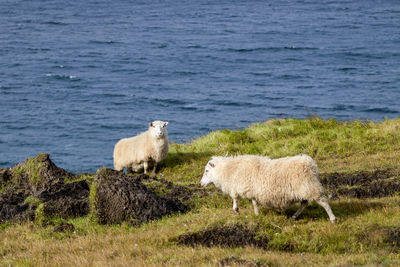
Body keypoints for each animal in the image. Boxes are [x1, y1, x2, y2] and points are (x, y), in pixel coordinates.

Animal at [202, 154, 336, 223]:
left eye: (207, 171)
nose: (201, 183)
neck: (230, 170)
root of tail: (311, 165)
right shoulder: (252, 190)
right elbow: (254, 202)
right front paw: (256, 214)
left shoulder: (239, 186)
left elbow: (235, 198)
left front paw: (236, 210)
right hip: (304, 189)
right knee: (304, 203)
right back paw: (294, 216)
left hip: (310, 188)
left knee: (323, 202)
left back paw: (333, 218)